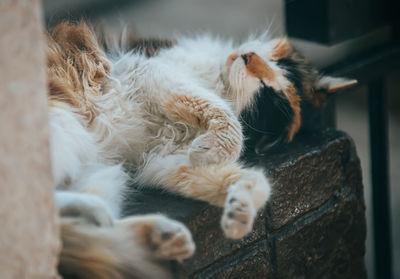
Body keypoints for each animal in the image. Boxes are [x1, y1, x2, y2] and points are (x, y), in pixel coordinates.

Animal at [48, 20, 354, 278]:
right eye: (273, 62)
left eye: (266, 90)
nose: (248, 56)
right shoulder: (149, 70)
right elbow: (223, 115)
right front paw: (212, 149)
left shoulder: (162, 161)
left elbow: (253, 180)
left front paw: (239, 215)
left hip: (104, 173)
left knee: (72, 227)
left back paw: (161, 236)